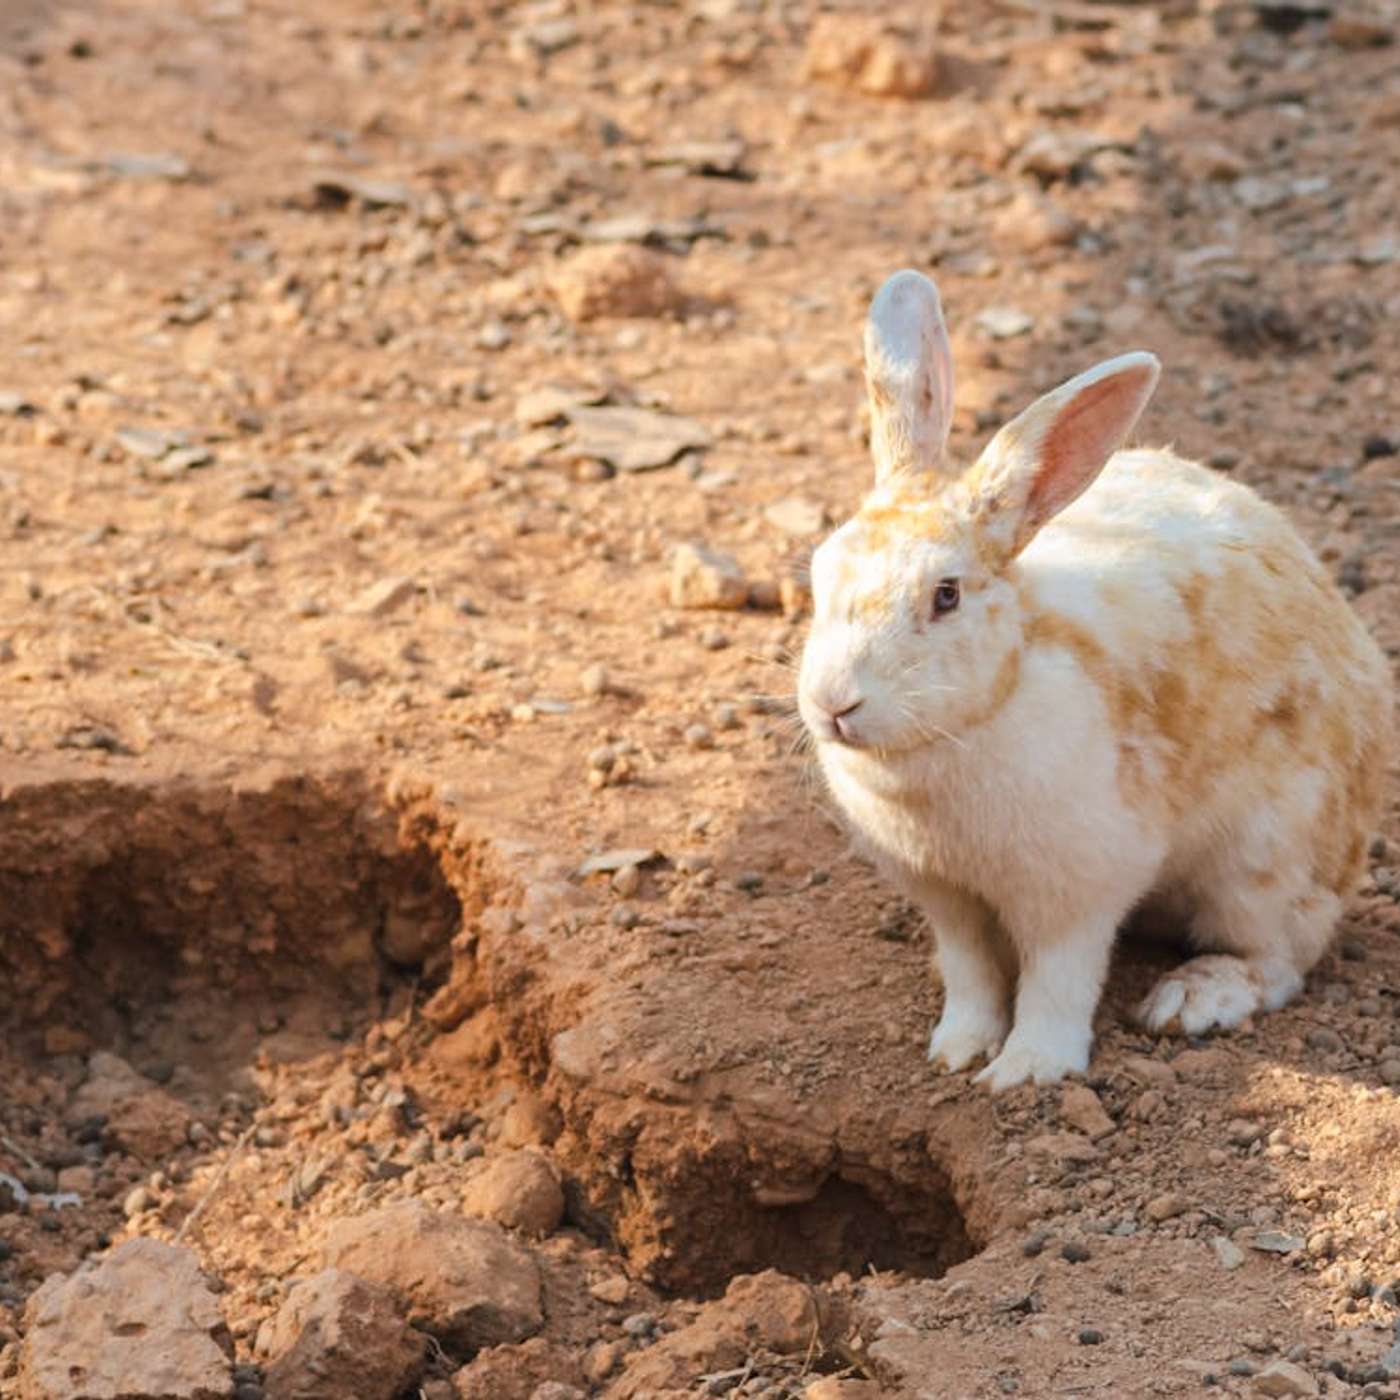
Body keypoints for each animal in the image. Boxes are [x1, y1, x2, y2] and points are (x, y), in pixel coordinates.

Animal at [797, 268, 1393, 1091]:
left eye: (946, 595)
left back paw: (1190, 1000)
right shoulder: (947, 899)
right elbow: (971, 972)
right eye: (819, 569)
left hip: (1265, 865)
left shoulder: (1078, 890)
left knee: (1279, 959)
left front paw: (1025, 1072)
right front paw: (957, 1050)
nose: (834, 704)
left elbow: (1059, 978)